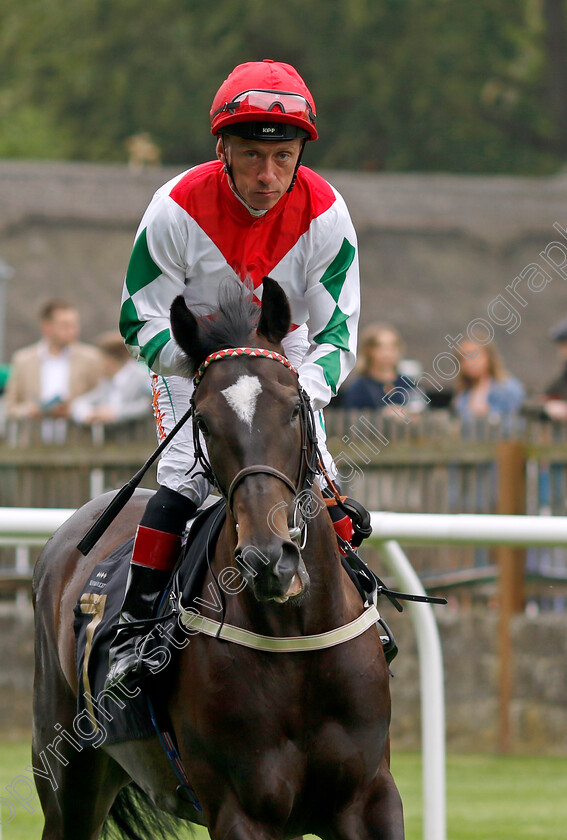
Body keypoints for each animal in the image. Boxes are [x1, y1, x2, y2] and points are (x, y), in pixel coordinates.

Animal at [33, 278, 404, 836]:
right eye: (204, 421)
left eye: (293, 409)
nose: (271, 559)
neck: (296, 638)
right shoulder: (240, 811)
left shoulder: (370, 799)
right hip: (68, 780)